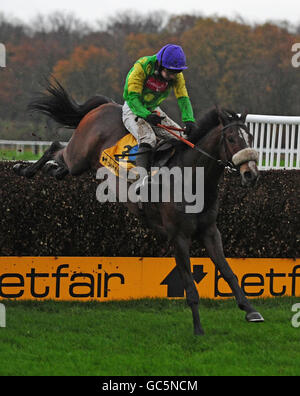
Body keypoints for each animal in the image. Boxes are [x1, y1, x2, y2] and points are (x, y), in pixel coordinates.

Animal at [13, 79, 264, 334]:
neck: (191, 178)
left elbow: (228, 272)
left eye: (251, 137)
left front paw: (251, 310)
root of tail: (104, 105)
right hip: (78, 157)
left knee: (59, 167)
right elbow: (189, 284)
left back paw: (47, 170)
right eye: (231, 138)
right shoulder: (178, 236)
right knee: (55, 147)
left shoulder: (210, 231)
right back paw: (23, 169)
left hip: (80, 166)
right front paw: (198, 328)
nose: (250, 174)